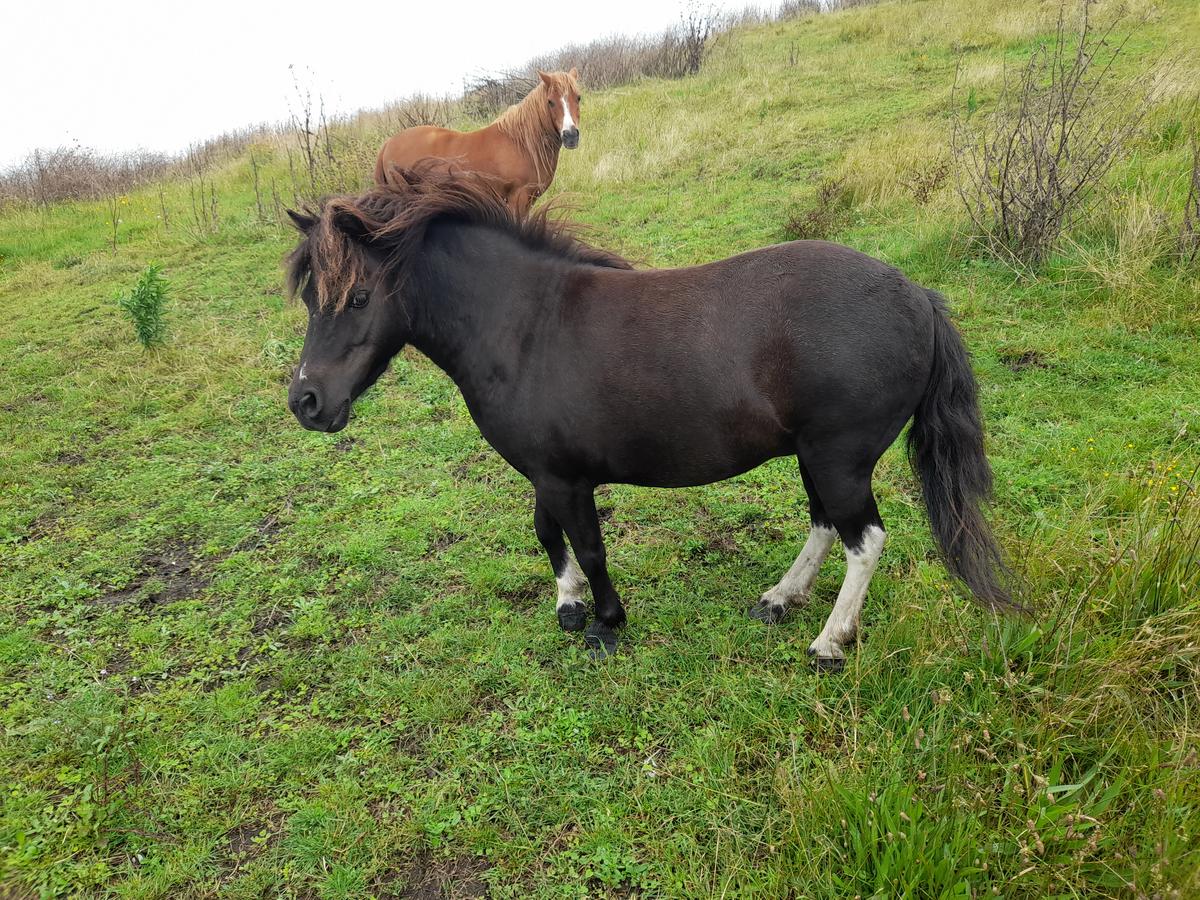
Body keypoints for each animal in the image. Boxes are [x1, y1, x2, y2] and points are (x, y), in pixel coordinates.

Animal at [283, 165, 1012, 667]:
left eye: (358, 296)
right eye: (313, 299)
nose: (306, 403)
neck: (525, 325)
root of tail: (916, 295)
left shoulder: (567, 479)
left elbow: (589, 545)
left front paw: (606, 621)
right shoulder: (548, 471)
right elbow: (547, 534)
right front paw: (569, 604)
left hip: (839, 457)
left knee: (865, 540)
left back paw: (830, 641)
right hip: (816, 456)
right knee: (827, 526)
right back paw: (782, 598)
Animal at [374, 70, 581, 218]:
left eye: (578, 97)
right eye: (550, 102)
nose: (571, 135)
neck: (522, 143)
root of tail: (387, 144)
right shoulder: (518, 198)